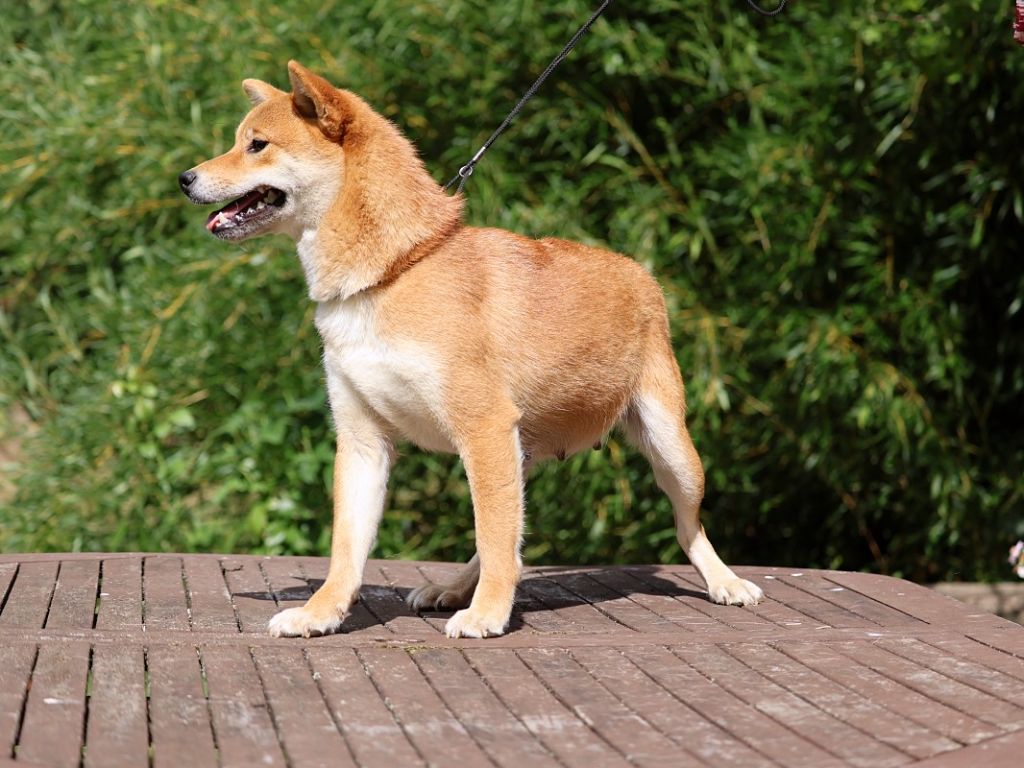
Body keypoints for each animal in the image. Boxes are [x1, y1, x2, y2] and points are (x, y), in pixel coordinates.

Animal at [178, 60, 761, 638]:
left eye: (256, 144)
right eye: (239, 141)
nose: (184, 178)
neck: (394, 270)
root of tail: (642, 274)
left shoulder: (482, 427)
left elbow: (495, 539)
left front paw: (487, 615)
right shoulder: (364, 441)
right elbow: (348, 549)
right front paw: (321, 613)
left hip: (670, 449)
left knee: (685, 528)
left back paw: (726, 583)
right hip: (518, 454)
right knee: (508, 536)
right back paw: (452, 588)